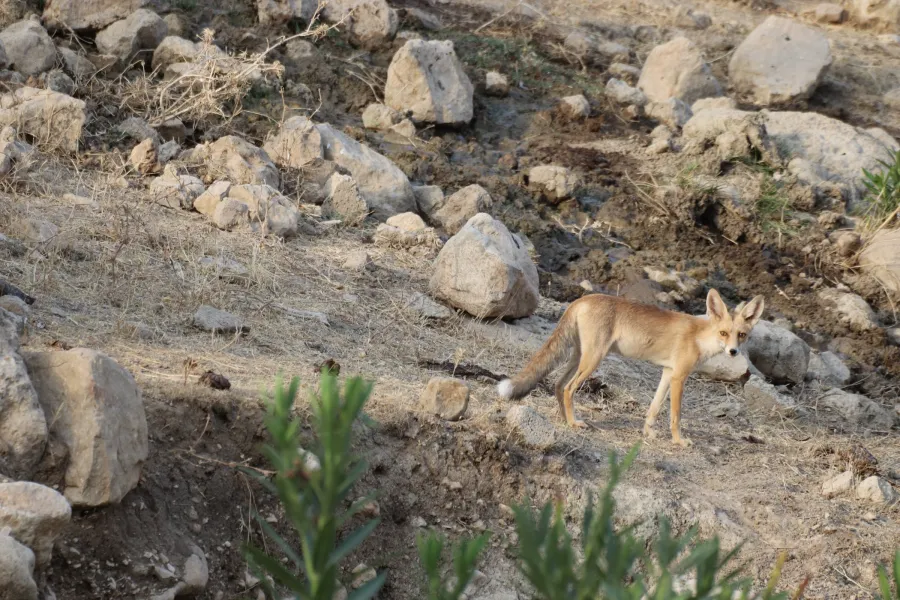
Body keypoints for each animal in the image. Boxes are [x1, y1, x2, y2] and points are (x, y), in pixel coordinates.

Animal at [497, 289, 765, 447]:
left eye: (741, 335)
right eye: (724, 333)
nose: (733, 352)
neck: (699, 337)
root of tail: (583, 298)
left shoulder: (668, 373)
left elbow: (654, 408)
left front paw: (648, 433)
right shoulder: (679, 377)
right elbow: (676, 415)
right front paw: (678, 441)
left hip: (579, 358)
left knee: (558, 385)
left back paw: (565, 420)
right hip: (593, 360)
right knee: (569, 389)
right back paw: (573, 423)